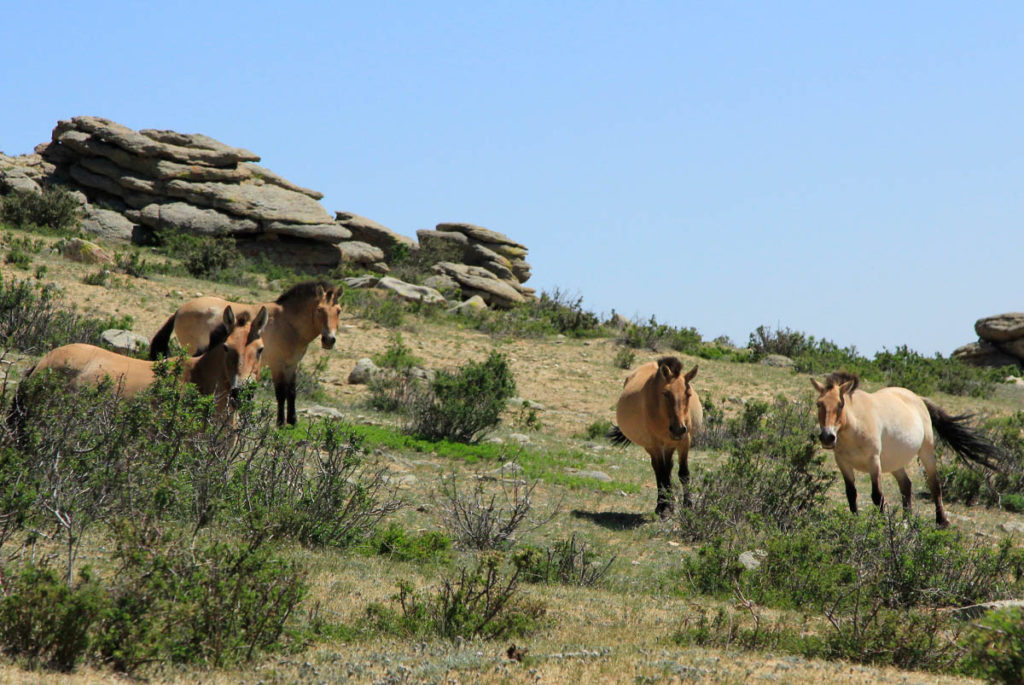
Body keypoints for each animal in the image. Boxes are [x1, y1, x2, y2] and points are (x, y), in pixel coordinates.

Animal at [149, 278, 344, 421]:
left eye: (339, 310)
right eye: (319, 310)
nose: (329, 340)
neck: (288, 322)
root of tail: (180, 310)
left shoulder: (292, 365)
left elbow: (292, 393)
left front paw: (292, 423)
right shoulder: (277, 365)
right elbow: (281, 394)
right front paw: (280, 424)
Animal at [606, 356, 704, 516]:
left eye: (688, 394)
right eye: (666, 394)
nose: (678, 429)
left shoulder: (684, 441)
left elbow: (683, 474)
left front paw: (687, 505)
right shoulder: (656, 444)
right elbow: (662, 473)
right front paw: (665, 507)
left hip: (670, 445)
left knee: (668, 467)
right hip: (651, 446)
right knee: (659, 469)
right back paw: (662, 504)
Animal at [811, 370, 995, 528]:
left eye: (840, 404)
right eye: (819, 404)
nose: (827, 437)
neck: (855, 425)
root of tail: (918, 398)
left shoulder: (874, 462)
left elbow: (877, 496)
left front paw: (880, 525)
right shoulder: (843, 463)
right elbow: (851, 493)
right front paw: (853, 522)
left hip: (926, 451)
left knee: (934, 484)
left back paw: (942, 521)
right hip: (895, 462)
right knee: (906, 484)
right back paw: (907, 520)